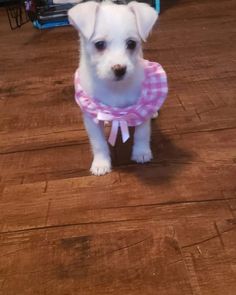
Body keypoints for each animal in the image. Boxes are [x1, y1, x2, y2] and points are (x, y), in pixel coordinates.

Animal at [69, 0, 159, 176]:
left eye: (131, 43)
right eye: (99, 44)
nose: (120, 69)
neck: (115, 87)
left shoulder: (141, 107)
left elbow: (142, 133)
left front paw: (141, 152)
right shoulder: (91, 117)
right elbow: (98, 143)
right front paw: (101, 163)